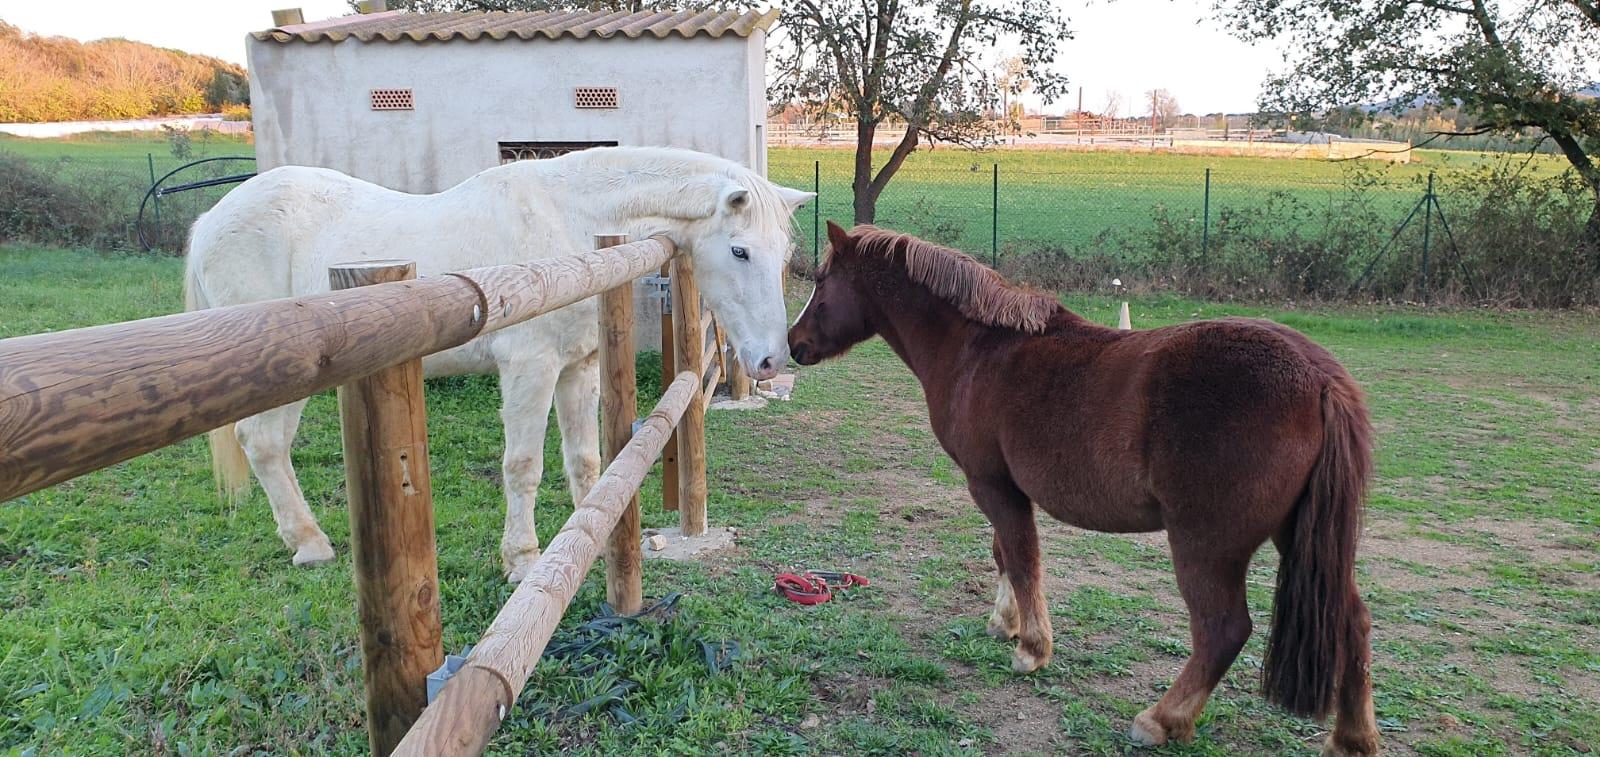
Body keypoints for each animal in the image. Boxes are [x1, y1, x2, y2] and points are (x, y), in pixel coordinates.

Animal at [186, 146, 813, 582]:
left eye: (782, 253)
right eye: (739, 250)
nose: (770, 360)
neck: (567, 225)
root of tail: (210, 221)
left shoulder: (576, 369)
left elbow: (584, 460)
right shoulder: (529, 370)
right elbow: (523, 466)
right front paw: (522, 559)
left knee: (267, 446)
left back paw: (305, 540)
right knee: (264, 443)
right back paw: (311, 544)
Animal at [787, 222, 1380, 756]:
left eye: (821, 281)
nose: (793, 344)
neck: (980, 347)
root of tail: (1320, 379)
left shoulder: (992, 485)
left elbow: (1021, 558)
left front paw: (1031, 649)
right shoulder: (1001, 489)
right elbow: (1004, 556)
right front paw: (1004, 623)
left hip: (1206, 544)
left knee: (1222, 630)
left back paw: (1160, 720)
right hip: (1296, 534)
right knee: (1351, 623)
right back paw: (1351, 740)